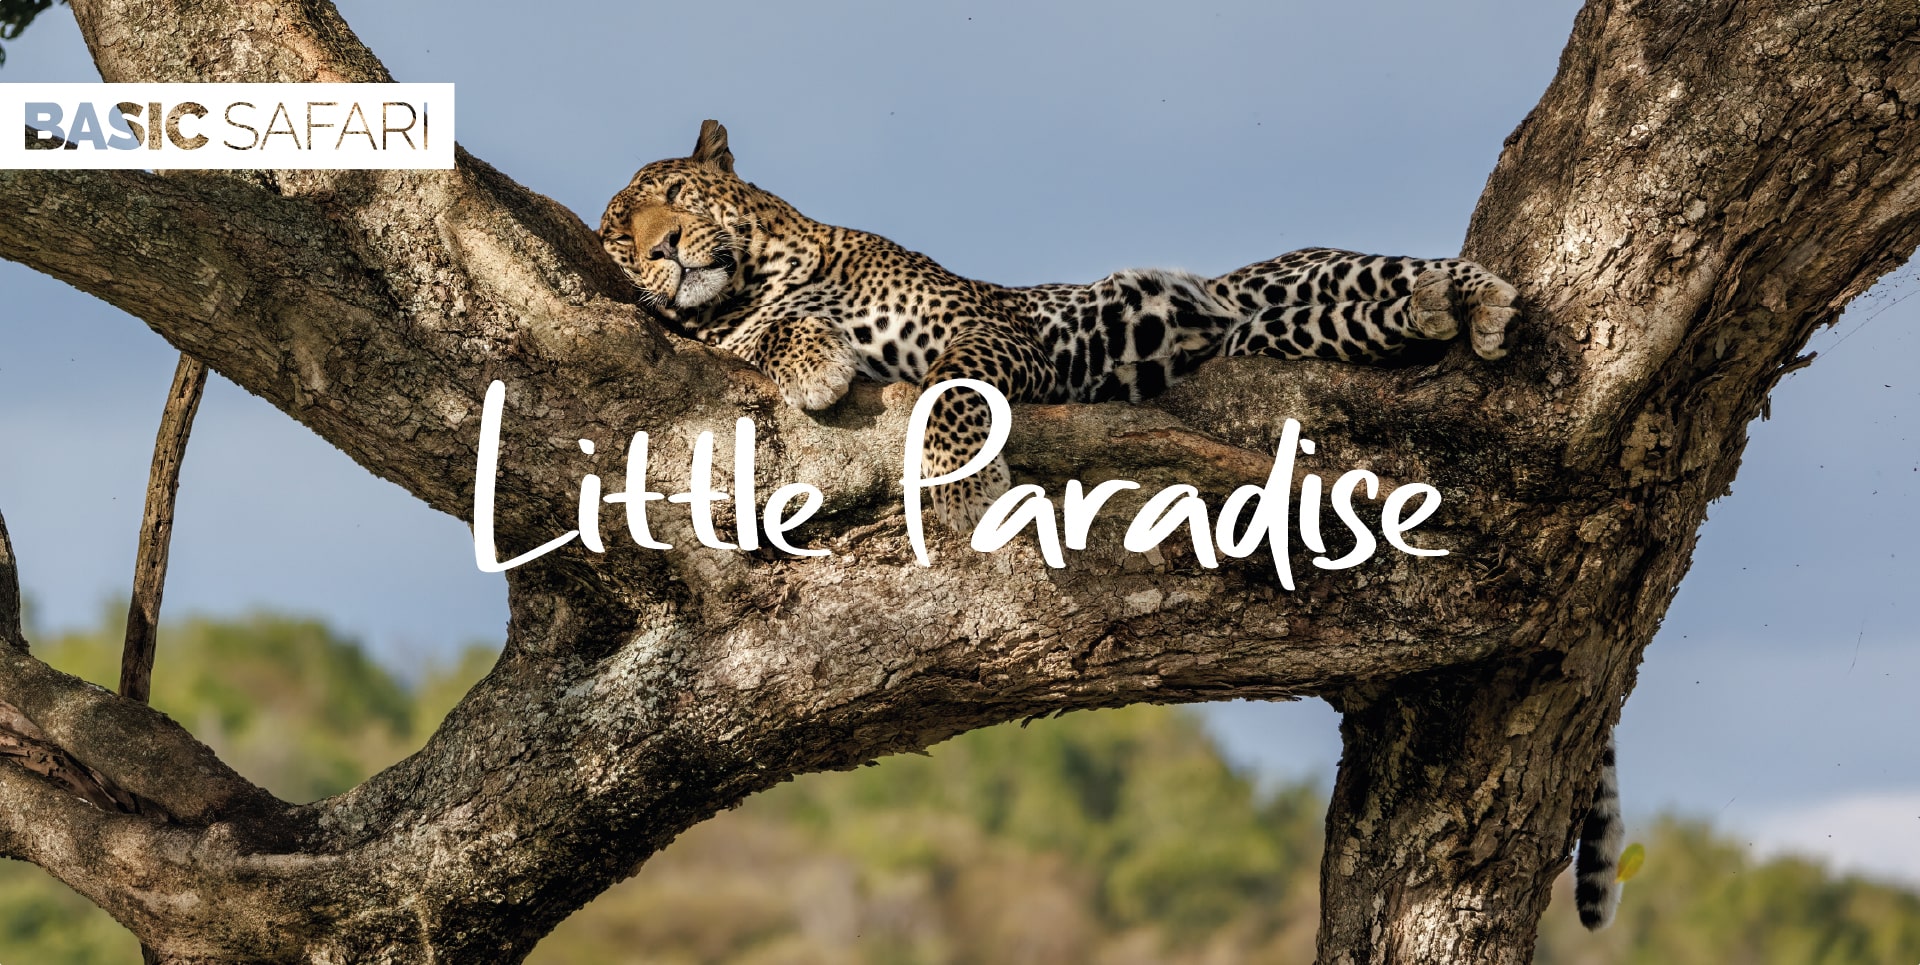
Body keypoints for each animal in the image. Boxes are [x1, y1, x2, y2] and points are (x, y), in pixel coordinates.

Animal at [599, 119, 1623, 932]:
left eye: (675, 196)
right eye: (620, 241)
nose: (667, 248)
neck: (762, 280)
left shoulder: (987, 326)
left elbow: (948, 393)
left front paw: (959, 489)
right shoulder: (733, 339)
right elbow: (763, 340)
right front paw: (808, 356)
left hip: (1291, 280)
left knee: (1384, 267)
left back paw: (1469, 297)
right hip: (1304, 326)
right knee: (1361, 309)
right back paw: (1431, 312)